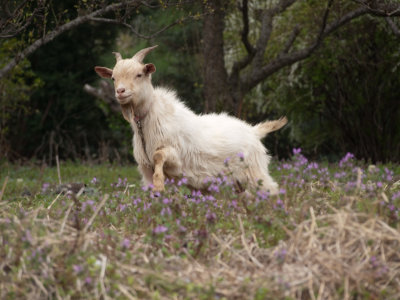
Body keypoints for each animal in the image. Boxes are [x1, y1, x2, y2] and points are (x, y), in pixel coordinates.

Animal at [95, 45, 286, 193]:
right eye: (113, 78)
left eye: (139, 74)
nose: (120, 91)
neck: (149, 121)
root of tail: (254, 130)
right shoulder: (145, 167)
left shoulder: (176, 158)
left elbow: (158, 155)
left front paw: (160, 185)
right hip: (239, 183)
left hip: (254, 172)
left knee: (272, 190)